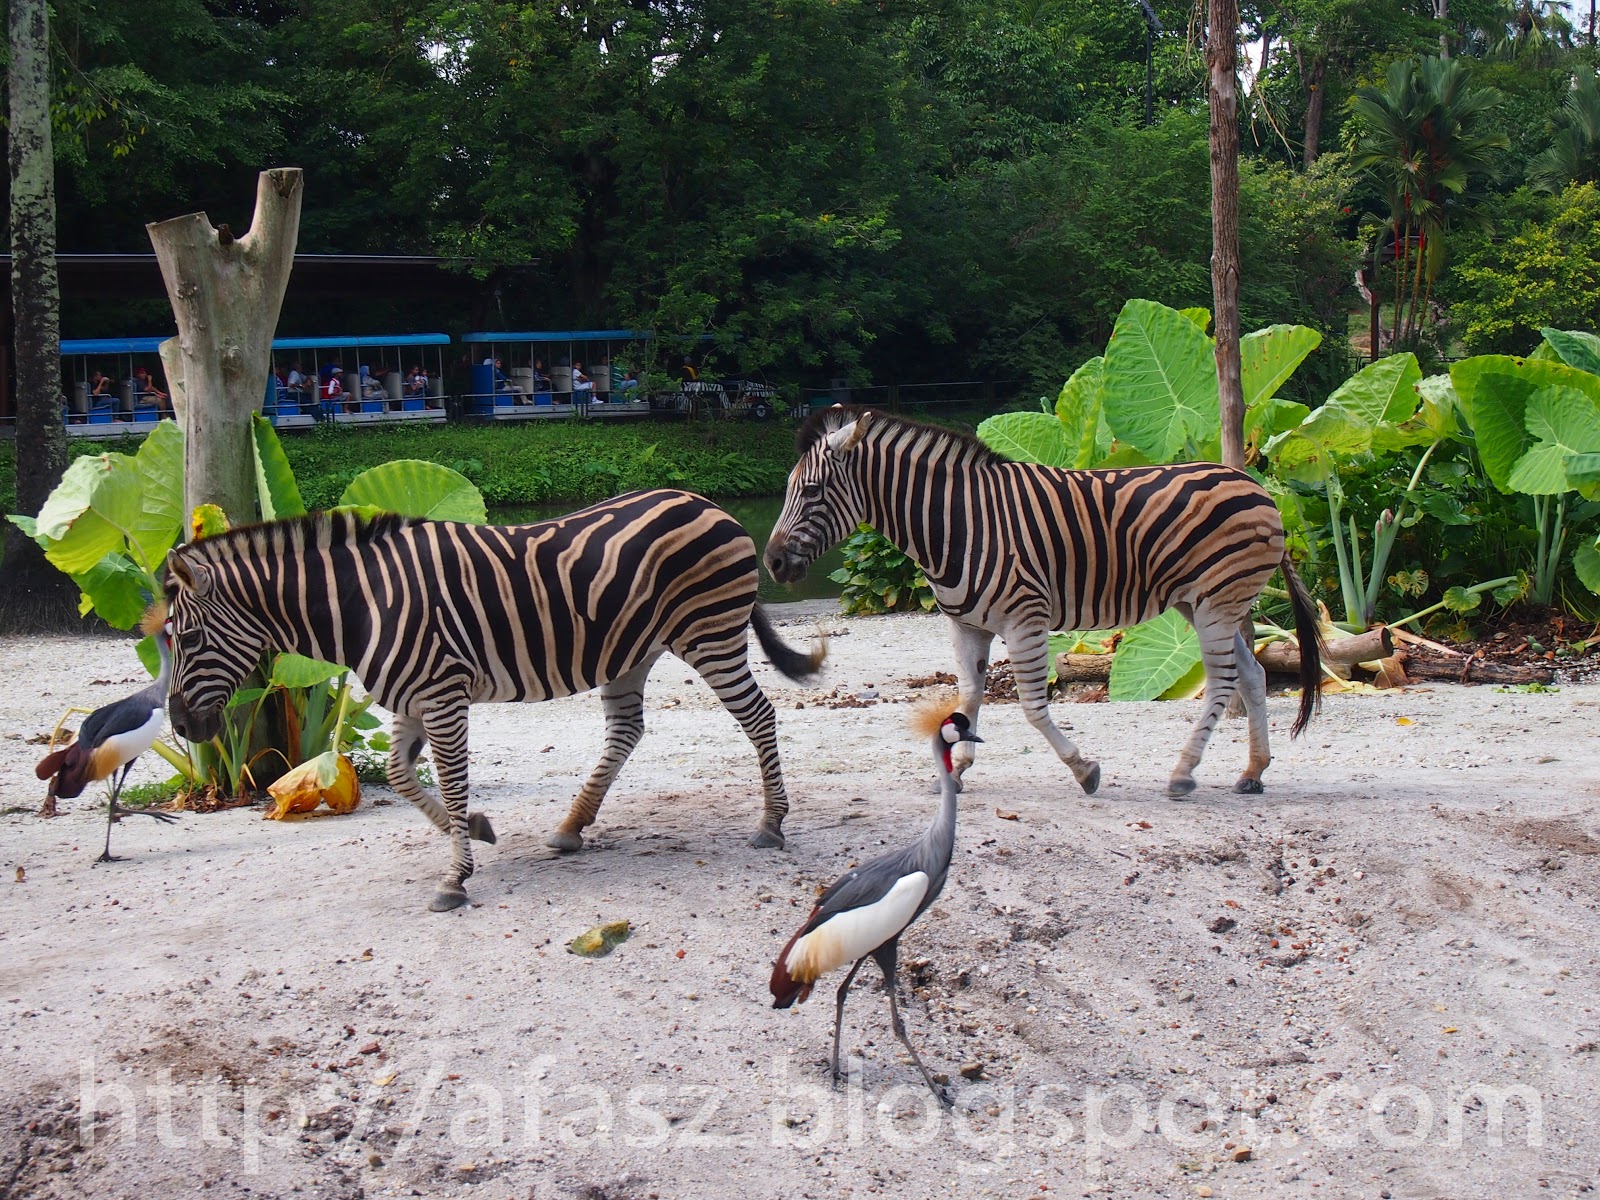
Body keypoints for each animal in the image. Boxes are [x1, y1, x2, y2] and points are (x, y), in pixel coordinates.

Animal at [162, 489, 825, 908]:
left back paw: (771, 823)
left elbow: (452, 782)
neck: (363, 604)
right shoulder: (410, 699)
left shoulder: (442, 692)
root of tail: (709, 503)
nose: (181, 727)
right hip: (631, 650)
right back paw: (570, 827)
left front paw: (455, 878)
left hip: (708, 634)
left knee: (758, 715)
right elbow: (402, 777)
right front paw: (475, 831)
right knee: (627, 730)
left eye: (187, 639)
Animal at [761, 409, 1324, 803]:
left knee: (1225, 680)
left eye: (812, 491)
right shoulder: (966, 625)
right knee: (1252, 675)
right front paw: (958, 770)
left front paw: (1084, 770)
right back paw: (1252, 771)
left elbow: (1032, 708)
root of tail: (1258, 486)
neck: (956, 524)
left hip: (1215, 602)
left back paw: (1183, 773)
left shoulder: (1024, 619)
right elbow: (969, 695)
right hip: (1205, 604)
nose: (771, 562)